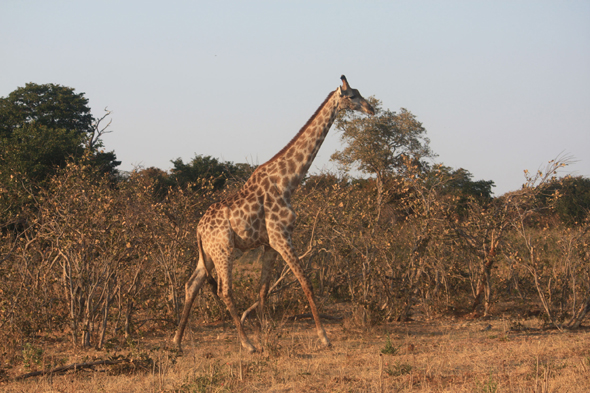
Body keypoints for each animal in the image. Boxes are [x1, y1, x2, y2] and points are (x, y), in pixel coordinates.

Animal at [173, 74, 374, 352]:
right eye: (353, 96)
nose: (371, 108)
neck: (287, 182)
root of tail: (199, 228)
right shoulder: (281, 236)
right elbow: (306, 283)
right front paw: (324, 337)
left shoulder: (269, 243)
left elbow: (263, 290)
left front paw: (265, 331)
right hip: (224, 250)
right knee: (224, 290)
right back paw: (246, 343)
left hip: (208, 254)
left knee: (192, 284)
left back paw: (177, 341)